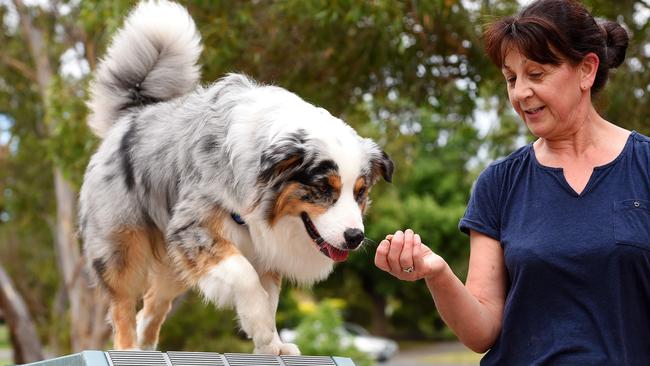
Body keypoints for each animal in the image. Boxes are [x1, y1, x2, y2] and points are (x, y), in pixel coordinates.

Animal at [78, 0, 392, 354]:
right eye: (324, 188)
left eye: (361, 192)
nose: (354, 237)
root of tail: (131, 116)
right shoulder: (194, 228)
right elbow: (246, 278)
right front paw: (264, 334)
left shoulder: (264, 246)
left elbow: (270, 298)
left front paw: (272, 343)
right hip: (122, 246)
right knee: (123, 303)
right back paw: (129, 349)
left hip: (173, 263)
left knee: (152, 305)